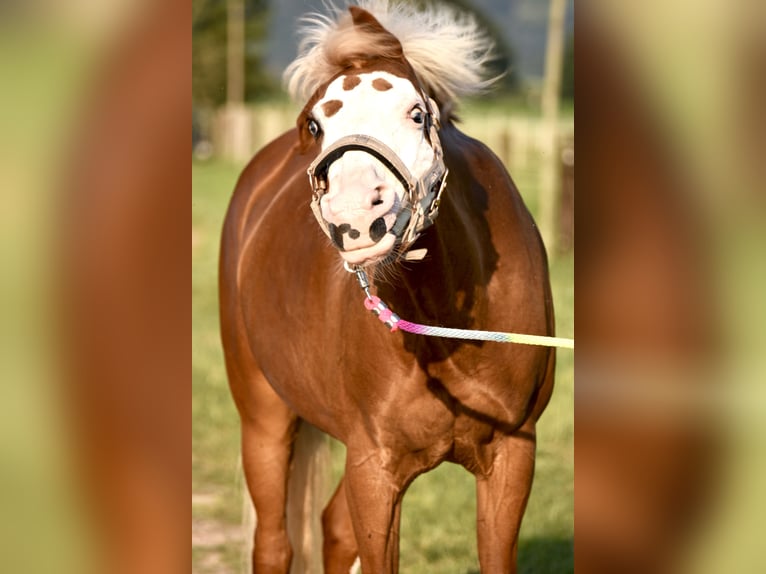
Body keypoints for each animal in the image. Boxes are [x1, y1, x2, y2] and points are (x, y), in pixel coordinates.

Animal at [219, 2, 556, 572]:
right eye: (315, 123)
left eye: (417, 114)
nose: (355, 215)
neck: (447, 328)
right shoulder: (373, 468)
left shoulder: (513, 456)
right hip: (263, 417)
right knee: (274, 543)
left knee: (332, 529)